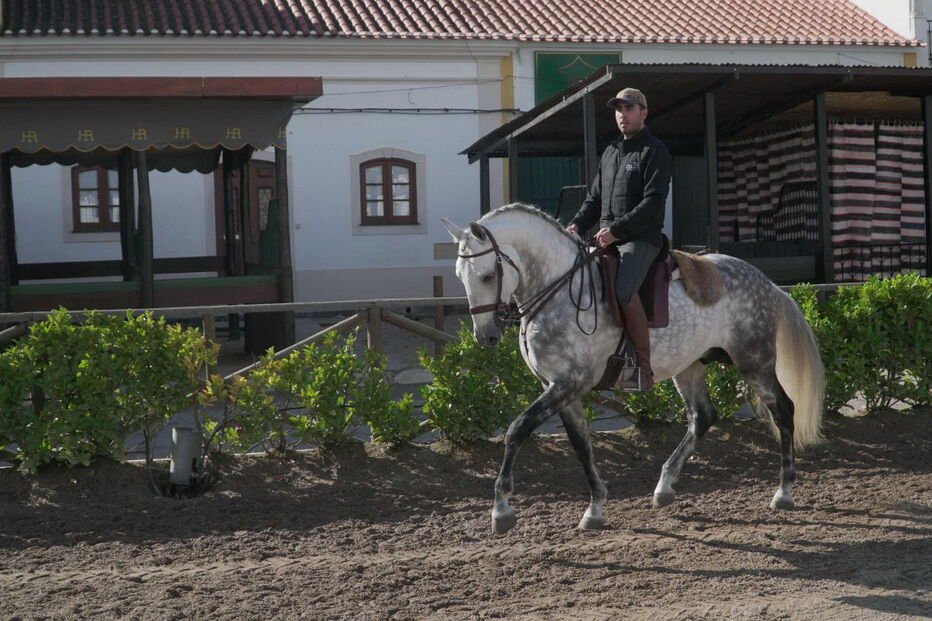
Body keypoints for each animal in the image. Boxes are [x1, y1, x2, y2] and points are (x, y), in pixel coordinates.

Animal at [442, 204, 824, 534]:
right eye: (459, 275)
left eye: (488, 275)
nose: (486, 335)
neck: (559, 290)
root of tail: (765, 281)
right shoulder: (560, 389)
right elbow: (581, 445)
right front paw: (594, 509)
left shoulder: (568, 384)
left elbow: (517, 429)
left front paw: (501, 509)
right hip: (690, 366)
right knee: (702, 416)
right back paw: (664, 486)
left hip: (754, 362)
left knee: (783, 410)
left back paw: (783, 492)